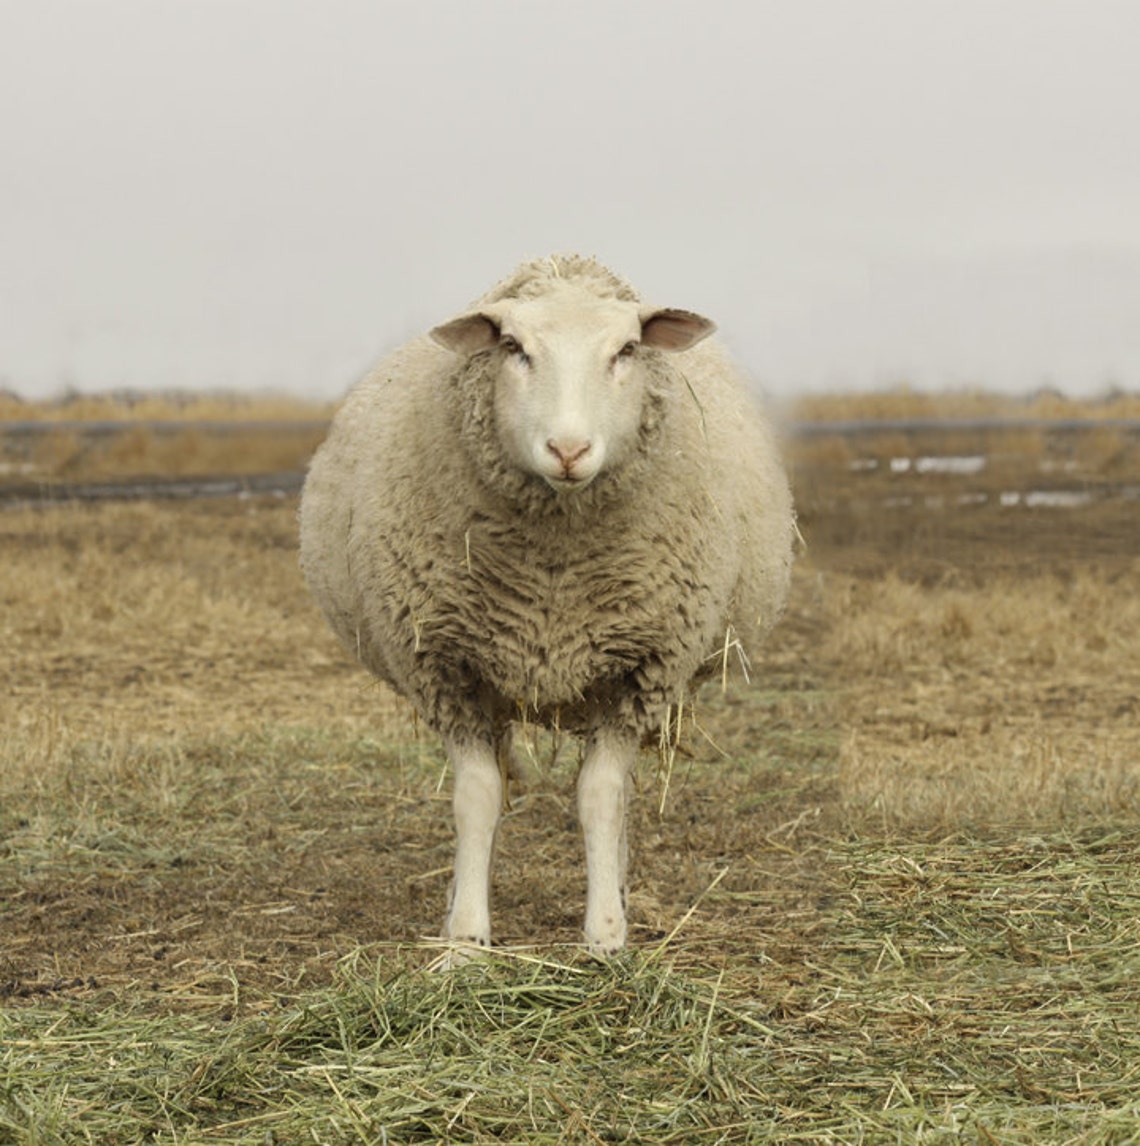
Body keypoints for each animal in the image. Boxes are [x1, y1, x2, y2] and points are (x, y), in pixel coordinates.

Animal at [299, 254, 794, 957]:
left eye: (626, 349)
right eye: (513, 347)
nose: (568, 450)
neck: (554, 574)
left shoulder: (643, 671)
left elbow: (601, 797)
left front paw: (605, 935)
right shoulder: (445, 669)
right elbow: (478, 797)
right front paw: (465, 939)